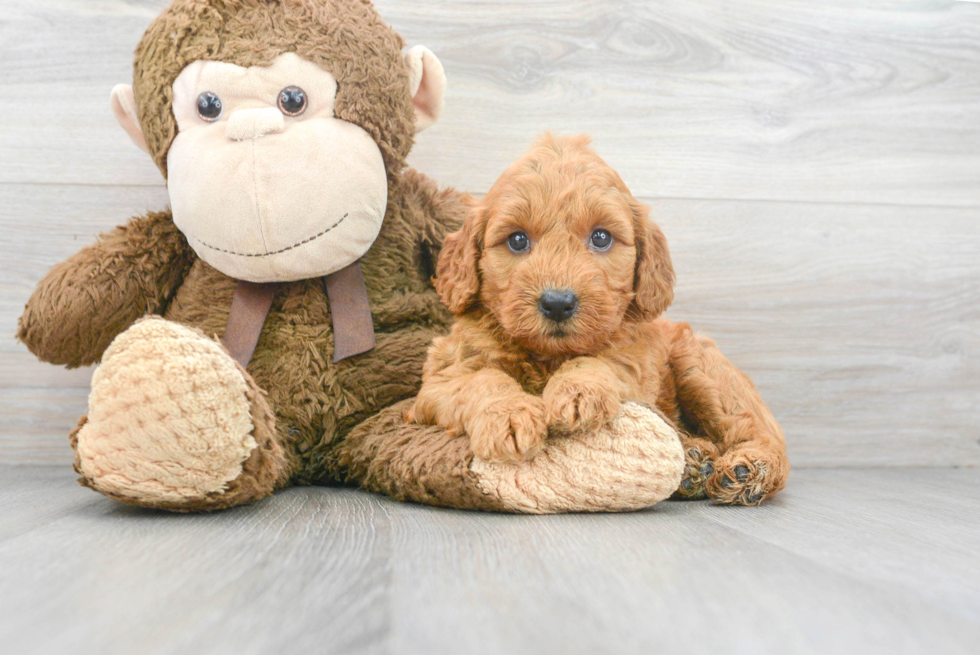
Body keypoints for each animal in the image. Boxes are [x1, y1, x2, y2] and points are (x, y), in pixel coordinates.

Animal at [408, 132, 788, 502]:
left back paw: (749, 469)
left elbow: (601, 360)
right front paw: (510, 417)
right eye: (517, 240)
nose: (557, 303)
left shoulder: (636, 363)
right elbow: (482, 380)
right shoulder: (440, 379)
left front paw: (578, 392)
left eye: (601, 237)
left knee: (758, 430)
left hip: (701, 368)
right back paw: (696, 461)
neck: (547, 357)